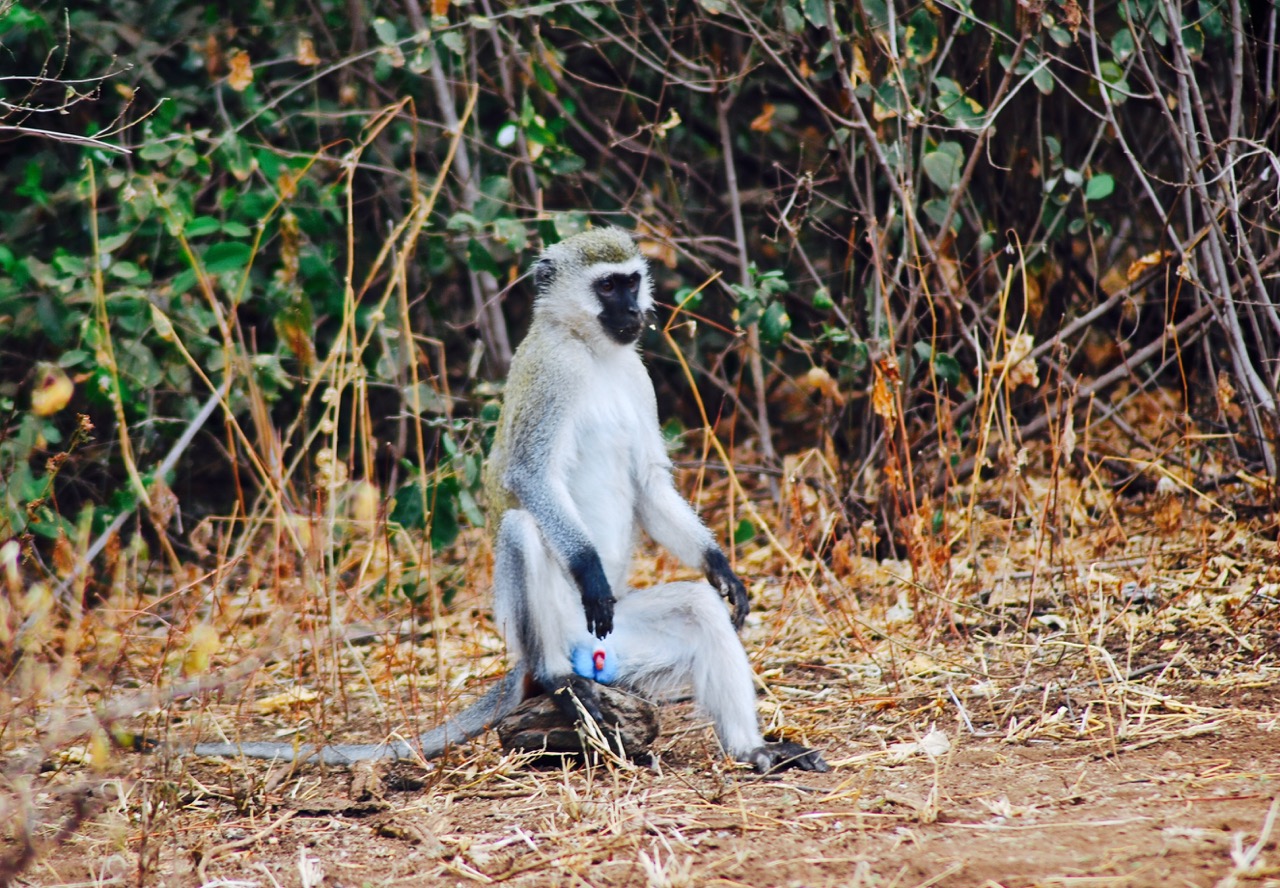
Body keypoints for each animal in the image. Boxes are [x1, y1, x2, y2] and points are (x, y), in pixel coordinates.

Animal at [185, 227, 827, 774]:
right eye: (607, 287)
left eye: (631, 281)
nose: (633, 312)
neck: (591, 351)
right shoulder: (551, 378)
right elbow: (530, 477)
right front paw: (591, 569)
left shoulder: (637, 376)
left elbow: (649, 485)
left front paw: (721, 567)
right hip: (563, 627)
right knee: (521, 530)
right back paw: (558, 680)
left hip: (621, 644)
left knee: (697, 608)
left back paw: (754, 751)